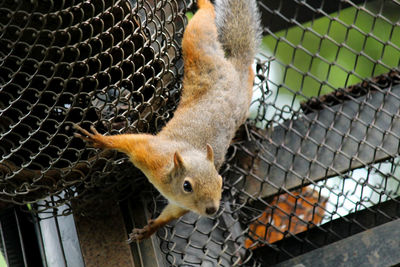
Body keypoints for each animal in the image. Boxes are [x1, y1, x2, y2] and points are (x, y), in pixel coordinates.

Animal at [74, 0, 262, 242]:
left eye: (220, 182)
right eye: (187, 186)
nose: (211, 209)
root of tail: (236, 68)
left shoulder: (179, 204)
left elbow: (169, 214)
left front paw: (149, 230)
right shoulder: (150, 153)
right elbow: (131, 142)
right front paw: (100, 140)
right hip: (200, 50)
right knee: (201, 24)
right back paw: (203, 4)